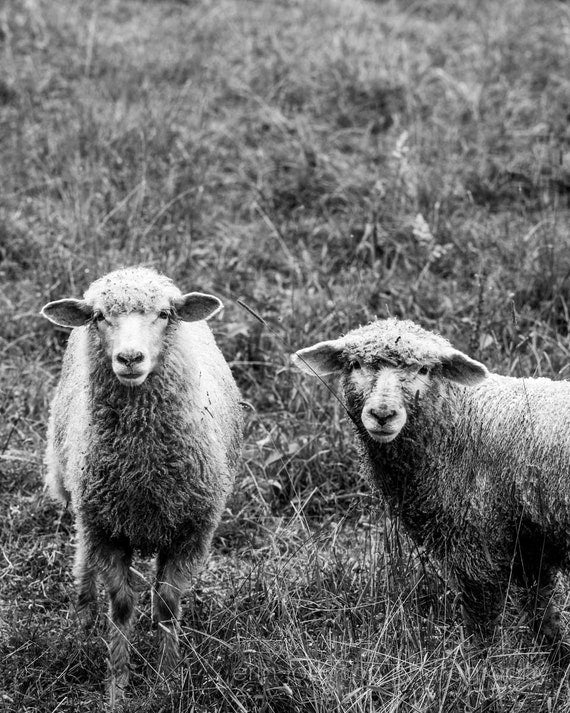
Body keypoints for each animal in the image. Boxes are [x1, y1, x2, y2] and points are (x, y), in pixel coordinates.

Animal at [41, 268, 242, 708]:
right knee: (82, 549)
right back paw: (83, 616)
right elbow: (121, 605)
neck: (143, 473)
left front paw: (167, 680)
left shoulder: (191, 531)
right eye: (99, 316)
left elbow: (165, 604)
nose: (130, 358)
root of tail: (137, 268)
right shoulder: (107, 529)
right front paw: (117, 685)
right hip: (78, 489)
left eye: (165, 314)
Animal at [292, 318, 570, 660]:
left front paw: (479, 663)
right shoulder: (531, 537)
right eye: (355, 365)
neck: (463, 420)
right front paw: (555, 655)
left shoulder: (475, 536)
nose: (382, 415)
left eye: (424, 370)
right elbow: (542, 607)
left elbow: (483, 615)